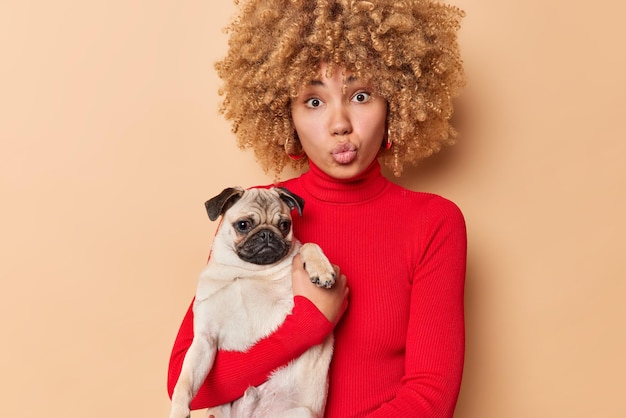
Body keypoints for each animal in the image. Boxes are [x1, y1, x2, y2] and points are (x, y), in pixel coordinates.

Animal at [168, 187, 336, 418]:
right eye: (243, 225)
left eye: (285, 225)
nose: (267, 234)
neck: (247, 270)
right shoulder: (204, 340)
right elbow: (184, 381)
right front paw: (178, 409)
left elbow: (308, 246)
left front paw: (321, 269)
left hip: (303, 413)